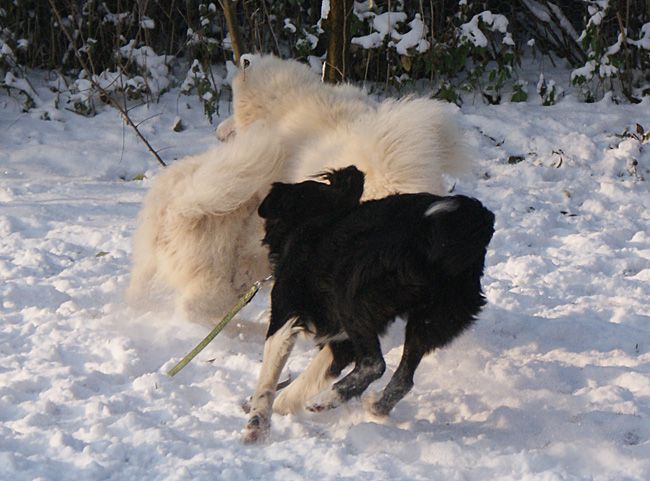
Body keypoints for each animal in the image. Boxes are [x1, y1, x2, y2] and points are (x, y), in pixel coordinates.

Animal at [240, 166, 494, 442]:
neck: (315, 221)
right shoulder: (341, 340)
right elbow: (312, 375)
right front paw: (282, 404)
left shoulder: (285, 313)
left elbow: (268, 378)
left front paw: (258, 421)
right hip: (433, 319)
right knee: (403, 378)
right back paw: (373, 406)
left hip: (352, 300)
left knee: (375, 364)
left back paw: (327, 399)